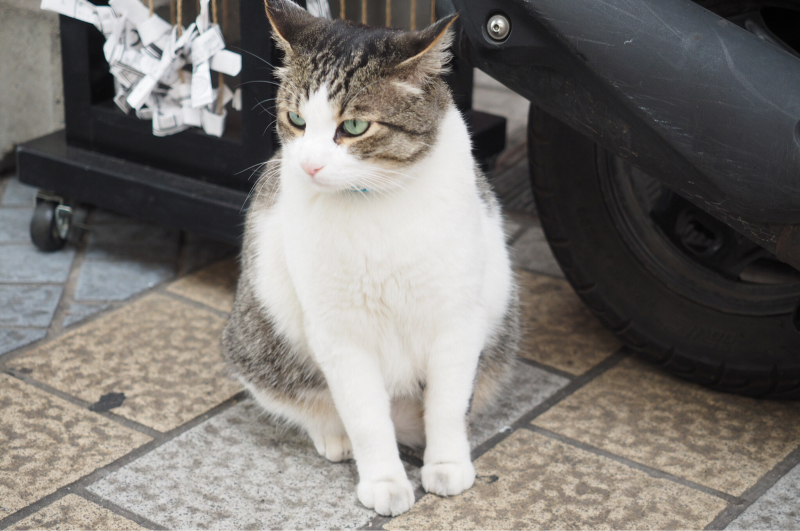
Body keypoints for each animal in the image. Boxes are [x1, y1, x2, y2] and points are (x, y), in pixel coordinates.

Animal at [220, 0, 520, 516]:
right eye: (296, 119)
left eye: (355, 126)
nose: (309, 164)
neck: (376, 202)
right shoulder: (340, 332)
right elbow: (365, 417)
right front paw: (384, 482)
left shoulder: (458, 318)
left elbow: (446, 405)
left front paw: (447, 464)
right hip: (260, 343)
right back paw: (333, 437)